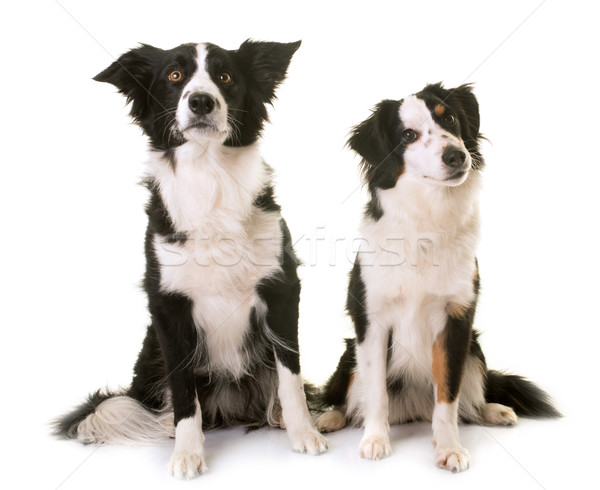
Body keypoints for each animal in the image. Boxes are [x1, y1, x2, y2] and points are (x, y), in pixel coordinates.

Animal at [55, 41, 328, 478]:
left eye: (226, 76)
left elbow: (290, 375)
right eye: (175, 76)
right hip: (151, 352)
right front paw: (187, 454)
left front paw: (303, 434)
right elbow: (184, 391)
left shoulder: (281, 289)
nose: (200, 101)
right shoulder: (168, 307)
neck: (209, 173)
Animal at [316, 83, 560, 470]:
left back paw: (493, 411)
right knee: (348, 396)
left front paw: (448, 448)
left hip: (474, 350)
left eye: (451, 119)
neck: (427, 217)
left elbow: (448, 395)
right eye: (408, 135)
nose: (456, 156)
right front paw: (375, 440)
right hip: (349, 353)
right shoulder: (371, 320)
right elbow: (376, 392)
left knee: (470, 400)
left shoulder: (456, 320)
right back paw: (330, 417)